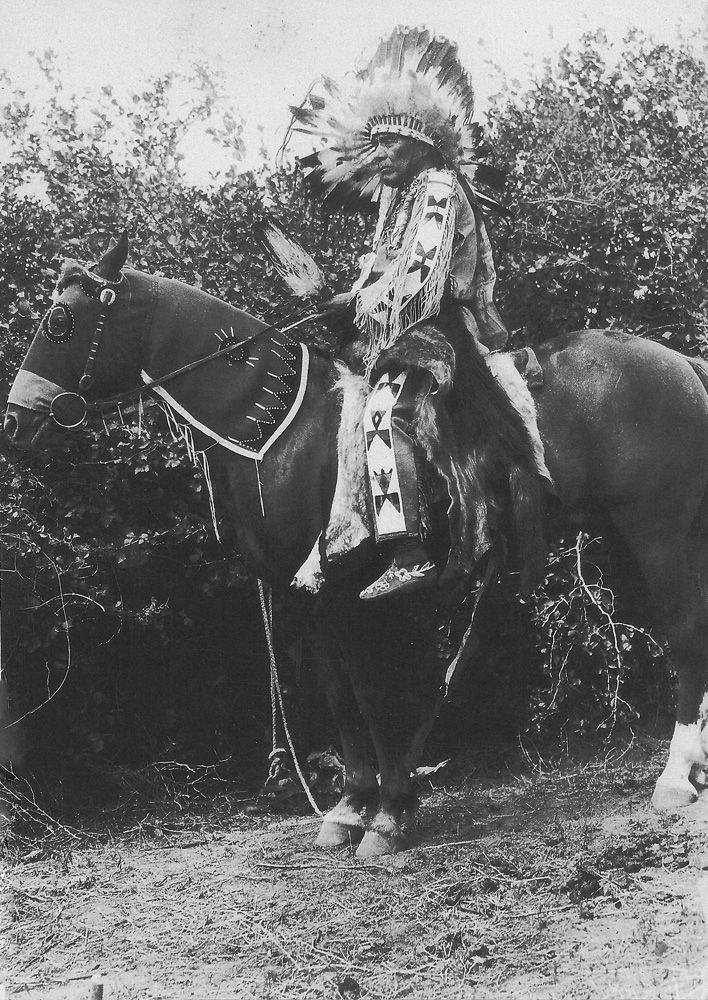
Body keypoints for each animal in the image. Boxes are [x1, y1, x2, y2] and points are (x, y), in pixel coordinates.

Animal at [5, 234, 708, 858]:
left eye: (60, 322)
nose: (15, 420)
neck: (281, 432)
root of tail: (681, 364)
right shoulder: (309, 594)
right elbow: (338, 694)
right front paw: (349, 807)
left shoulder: (347, 591)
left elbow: (373, 695)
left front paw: (390, 812)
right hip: (627, 543)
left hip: (659, 535)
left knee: (684, 637)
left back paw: (675, 780)